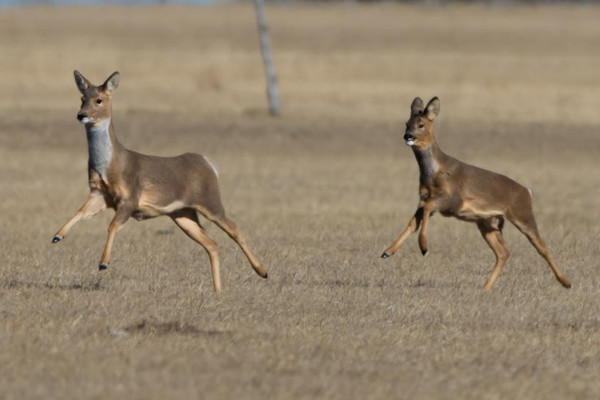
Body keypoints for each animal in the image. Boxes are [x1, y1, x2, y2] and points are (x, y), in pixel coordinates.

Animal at [51, 70, 268, 292]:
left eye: (99, 100)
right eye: (82, 98)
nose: (81, 115)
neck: (111, 165)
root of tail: (209, 164)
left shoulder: (130, 197)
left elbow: (112, 225)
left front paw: (103, 263)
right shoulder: (99, 193)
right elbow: (80, 212)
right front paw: (57, 236)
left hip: (210, 201)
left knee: (234, 229)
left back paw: (263, 271)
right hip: (182, 213)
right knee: (211, 242)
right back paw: (218, 290)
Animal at [380, 97, 572, 290]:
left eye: (421, 125)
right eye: (407, 123)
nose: (408, 136)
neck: (434, 173)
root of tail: (527, 191)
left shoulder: (453, 199)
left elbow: (426, 210)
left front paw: (424, 247)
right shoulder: (424, 198)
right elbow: (413, 222)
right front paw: (387, 251)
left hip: (522, 213)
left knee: (542, 246)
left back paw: (566, 282)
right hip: (487, 222)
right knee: (503, 252)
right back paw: (485, 288)